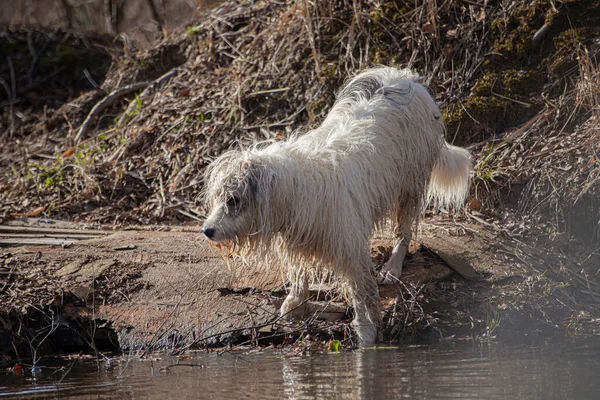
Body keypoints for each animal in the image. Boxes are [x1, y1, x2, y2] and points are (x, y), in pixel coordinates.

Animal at [203, 66, 474, 344]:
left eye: (233, 200)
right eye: (219, 198)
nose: (207, 231)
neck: (294, 188)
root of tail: (406, 78)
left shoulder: (349, 248)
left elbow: (360, 290)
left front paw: (366, 330)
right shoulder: (299, 233)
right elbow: (300, 272)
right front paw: (296, 301)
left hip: (410, 183)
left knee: (404, 231)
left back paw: (392, 267)